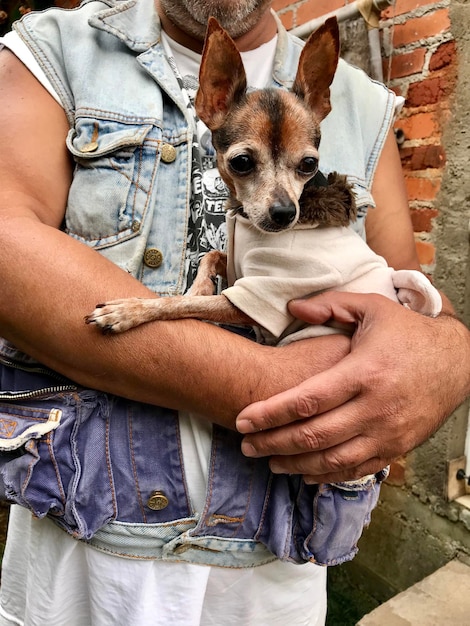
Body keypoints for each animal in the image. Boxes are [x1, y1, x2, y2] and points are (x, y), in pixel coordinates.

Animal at [85, 18, 440, 342]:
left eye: (309, 164)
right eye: (241, 163)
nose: (285, 213)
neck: (245, 224)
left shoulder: (257, 297)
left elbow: (178, 305)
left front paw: (130, 309)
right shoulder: (236, 268)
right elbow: (211, 258)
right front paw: (198, 287)